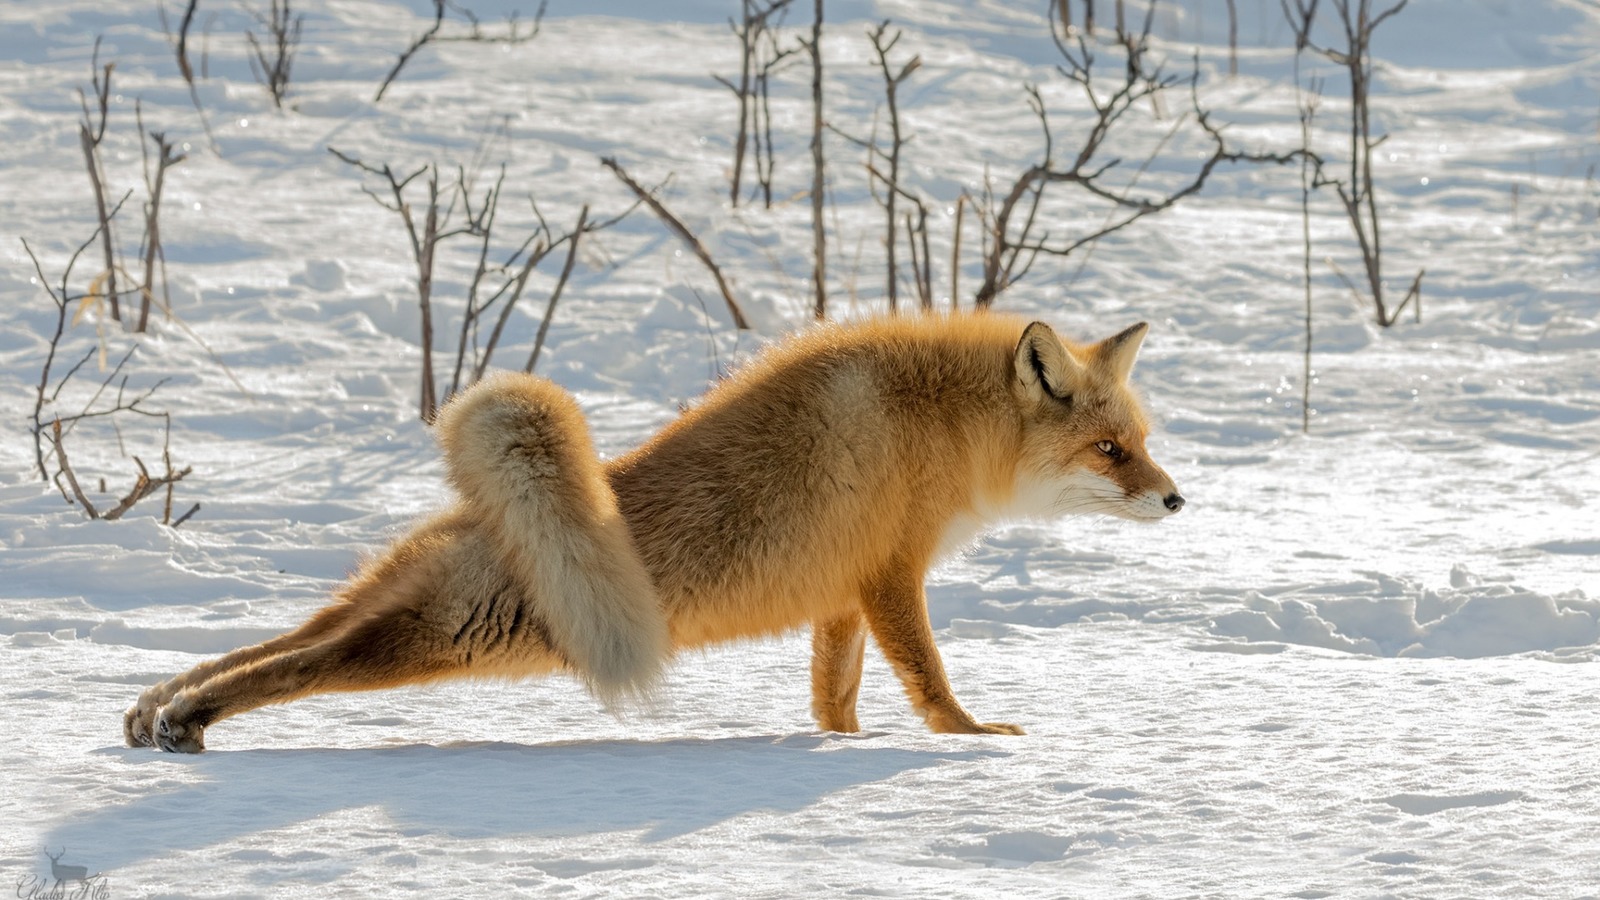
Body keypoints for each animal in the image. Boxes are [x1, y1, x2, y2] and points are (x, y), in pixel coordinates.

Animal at [124, 312, 1184, 746]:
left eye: (1140, 443)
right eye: (1108, 451)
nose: (1177, 500)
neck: (945, 422)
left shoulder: (843, 593)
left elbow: (833, 698)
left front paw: (846, 746)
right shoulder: (891, 574)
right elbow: (929, 678)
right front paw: (967, 740)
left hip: (387, 605)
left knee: (281, 639)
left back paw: (158, 707)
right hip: (436, 643)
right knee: (297, 666)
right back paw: (192, 719)